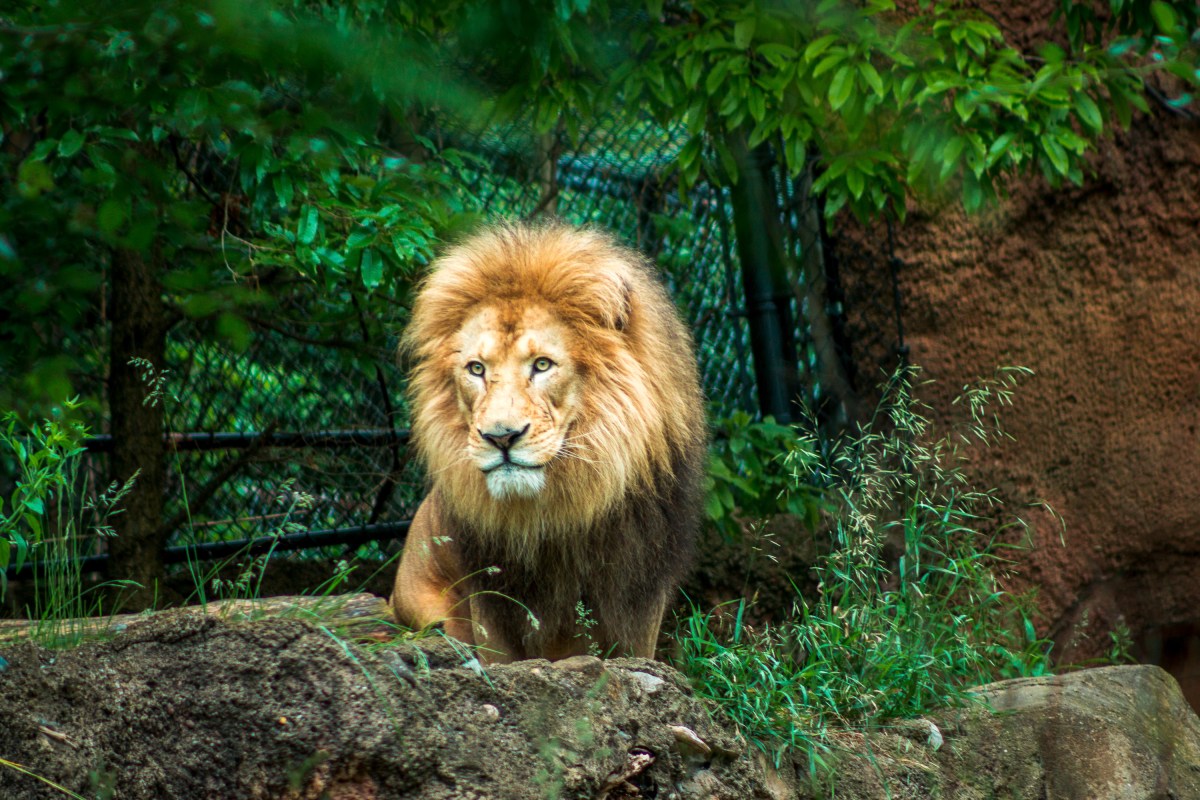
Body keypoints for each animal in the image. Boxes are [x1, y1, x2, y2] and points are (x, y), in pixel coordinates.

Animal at [388, 220, 705, 662]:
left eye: (542, 365)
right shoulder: (492, 599)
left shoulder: (640, 594)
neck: (557, 512)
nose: (500, 437)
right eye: (476, 369)